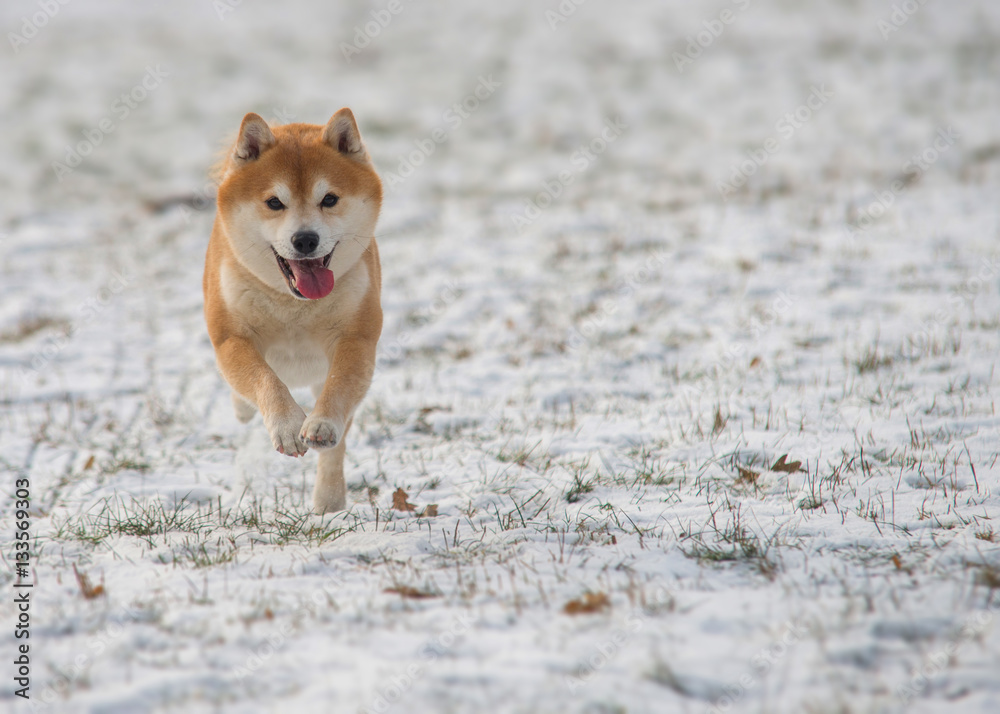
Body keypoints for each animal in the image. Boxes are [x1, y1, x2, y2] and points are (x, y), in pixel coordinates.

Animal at [201, 110, 380, 512]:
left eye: (329, 199)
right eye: (274, 202)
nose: (305, 239)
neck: (295, 304)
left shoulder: (356, 337)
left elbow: (340, 384)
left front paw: (321, 425)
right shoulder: (232, 337)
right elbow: (262, 377)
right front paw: (285, 426)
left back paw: (328, 499)